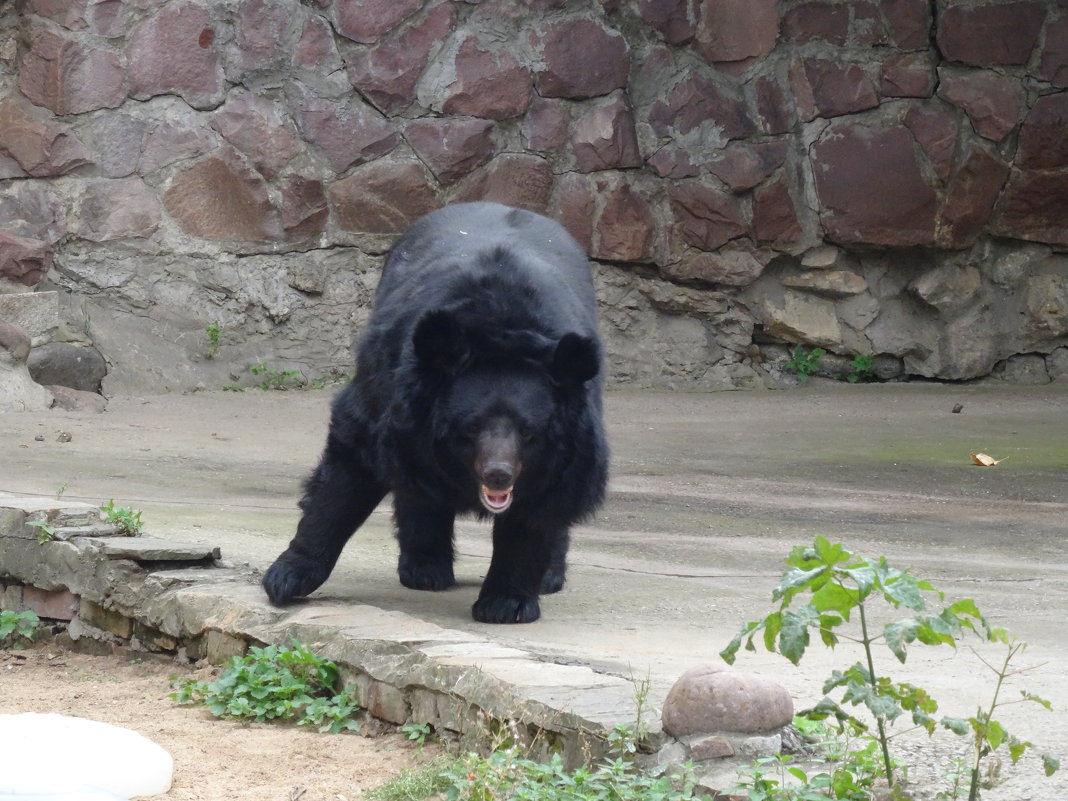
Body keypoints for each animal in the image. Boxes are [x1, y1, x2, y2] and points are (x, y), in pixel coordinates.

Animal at [260, 201, 610, 627]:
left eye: (529, 432)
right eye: (471, 428)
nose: (498, 474)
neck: (504, 326)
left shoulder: (570, 442)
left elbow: (540, 508)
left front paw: (505, 603)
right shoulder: (393, 392)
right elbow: (348, 468)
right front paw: (285, 578)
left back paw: (549, 576)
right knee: (417, 490)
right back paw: (425, 568)